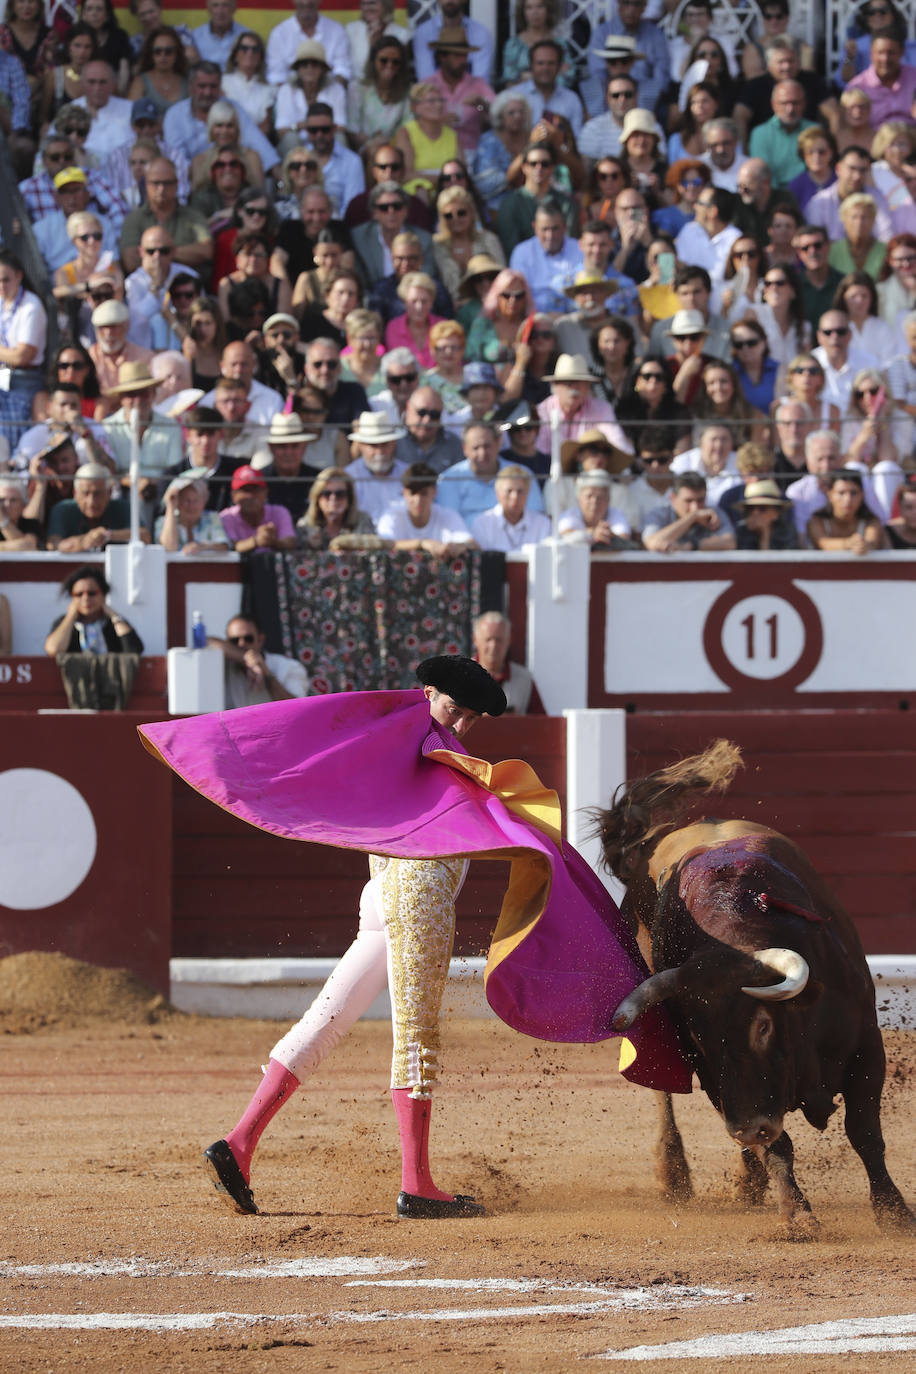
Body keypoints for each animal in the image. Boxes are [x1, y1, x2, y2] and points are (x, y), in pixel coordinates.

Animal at [596, 741, 916, 1236]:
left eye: (763, 1027)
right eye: (700, 1038)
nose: (747, 1127)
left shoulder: (867, 1046)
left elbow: (864, 1132)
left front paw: (895, 1214)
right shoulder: (717, 1080)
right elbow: (778, 1146)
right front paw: (797, 1215)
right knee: (666, 1097)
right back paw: (678, 1176)